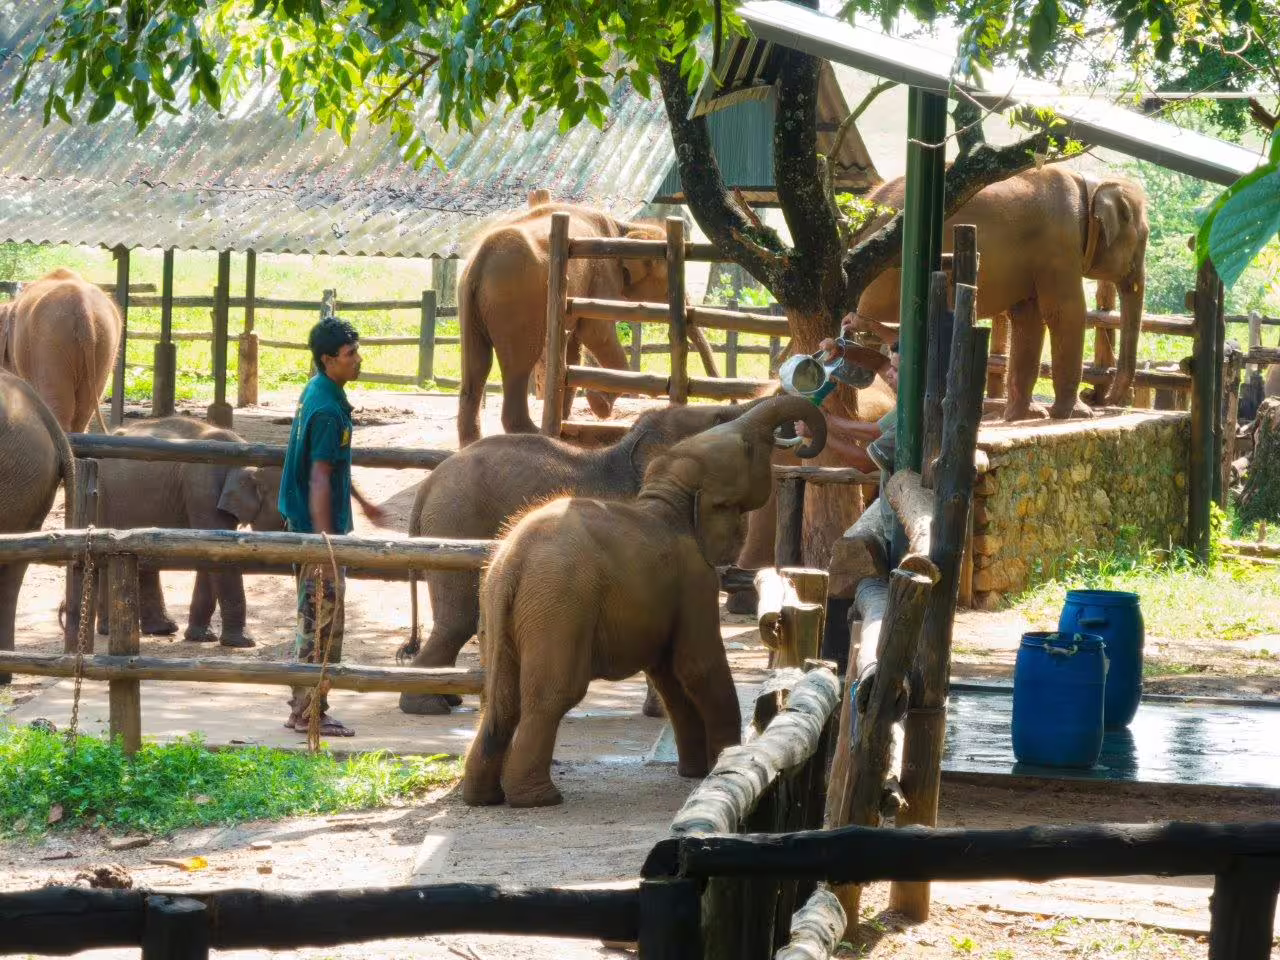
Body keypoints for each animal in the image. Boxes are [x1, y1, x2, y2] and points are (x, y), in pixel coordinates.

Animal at [81, 417, 284, 648]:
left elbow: (213, 553)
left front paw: (201, 637)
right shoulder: (202, 488)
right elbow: (221, 555)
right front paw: (242, 643)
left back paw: (160, 629)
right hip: (104, 497)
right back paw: (113, 630)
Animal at [398, 397, 775, 717]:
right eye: (718, 420)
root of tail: (428, 485)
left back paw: (446, 698)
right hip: (454, 522)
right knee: (459, 619)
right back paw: (427, 707)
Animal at [456, 201, 718, 447]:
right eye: (668, 286)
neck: (625, 229)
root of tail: (480, 258)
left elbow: (573, 346)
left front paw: (567, 422)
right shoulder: (603, 274)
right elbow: (596, 332)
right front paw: (599, 405)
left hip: (470, 301)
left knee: (476, 364)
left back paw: (472, 442)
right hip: (516, 300)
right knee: (519, 363)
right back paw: (529, 432)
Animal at [461, 394, 827, 808]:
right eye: (749, 449)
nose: (804, 441)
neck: (668, 494)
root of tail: (514, 563)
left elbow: (669, 676)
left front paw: (694, 772)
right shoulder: (695, 578)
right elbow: (697, 665)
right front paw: (719, 764)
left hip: (498, 604)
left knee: (500, 698)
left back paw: (482, 796)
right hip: (559, 604)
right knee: (553, 694)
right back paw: (540, 798)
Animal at [852, 165, 1149, 421]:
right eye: (1144, 236)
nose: (1100, 398)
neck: (1092, 185)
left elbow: (1029, 318)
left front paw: (1024, 416)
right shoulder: (1060, 244)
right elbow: (1065, 312)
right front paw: (1077, 414)